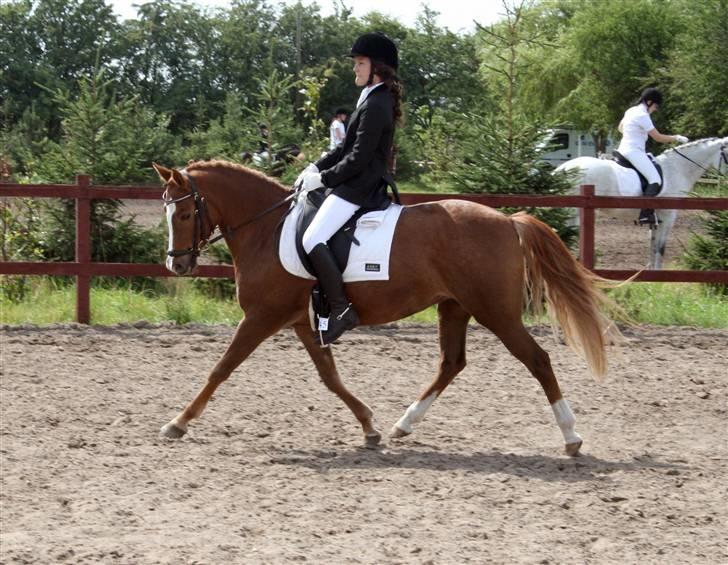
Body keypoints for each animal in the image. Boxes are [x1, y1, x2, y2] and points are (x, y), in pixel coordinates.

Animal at [153, 160, 620, 456]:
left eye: (184, 213)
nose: (177, 264)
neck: (266, 229)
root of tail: (507, 220)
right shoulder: (301, 321)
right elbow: (330, 377)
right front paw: (369, 427)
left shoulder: (262, 317)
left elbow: (221, 368)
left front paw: (178, 422)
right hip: (454, 307)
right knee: (451, 363)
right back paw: (403, 424)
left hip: (496, 313)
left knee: (537, 359)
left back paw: (571, 437)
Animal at [556, 137, 728, 269]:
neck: (676, 169)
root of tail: (565, 167)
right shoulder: (668, 218)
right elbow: (660, 249)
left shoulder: (656, 220)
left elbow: (652, 248)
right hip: (574, 212)